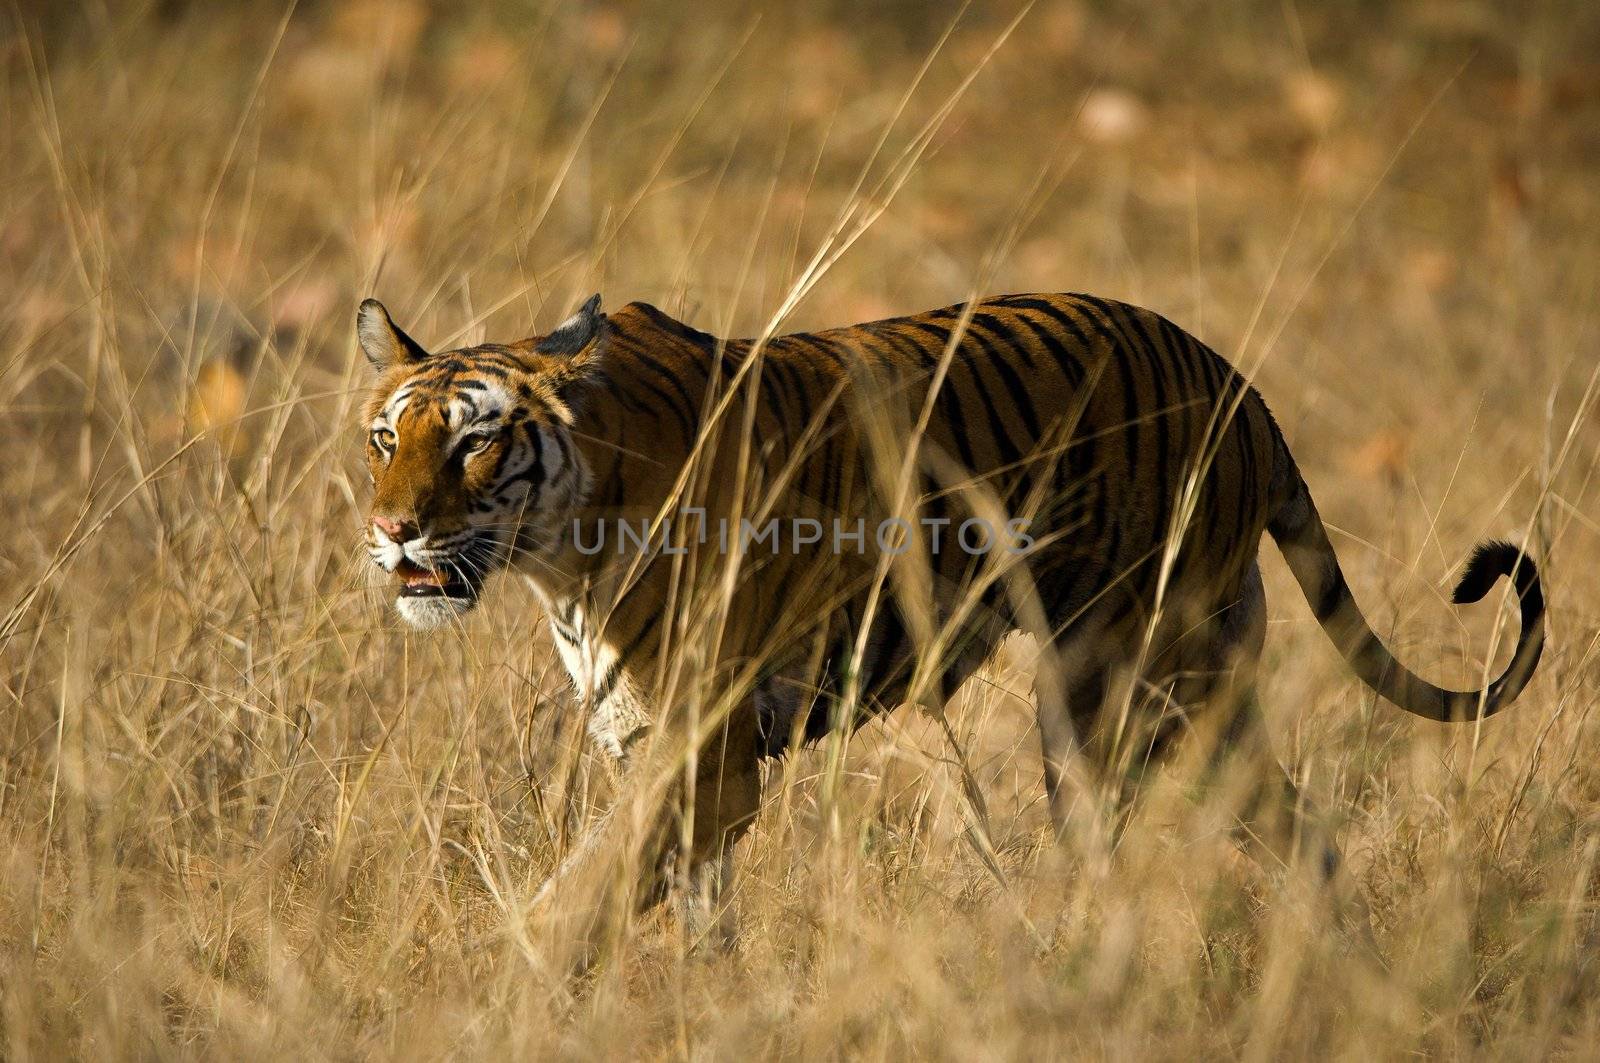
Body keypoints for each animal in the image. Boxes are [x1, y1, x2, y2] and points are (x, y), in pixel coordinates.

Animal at [360, 288, 1536, 941]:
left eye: (475, 441)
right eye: (386, 438)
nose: (394, 532)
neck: (560, 552)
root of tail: (1245, 391)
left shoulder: (706, 748)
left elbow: (584, 890)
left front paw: (508, 984)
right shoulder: (650, 743)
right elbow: (682, 907)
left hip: (1122, 690)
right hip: (1197, 698)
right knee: (1300, 837)